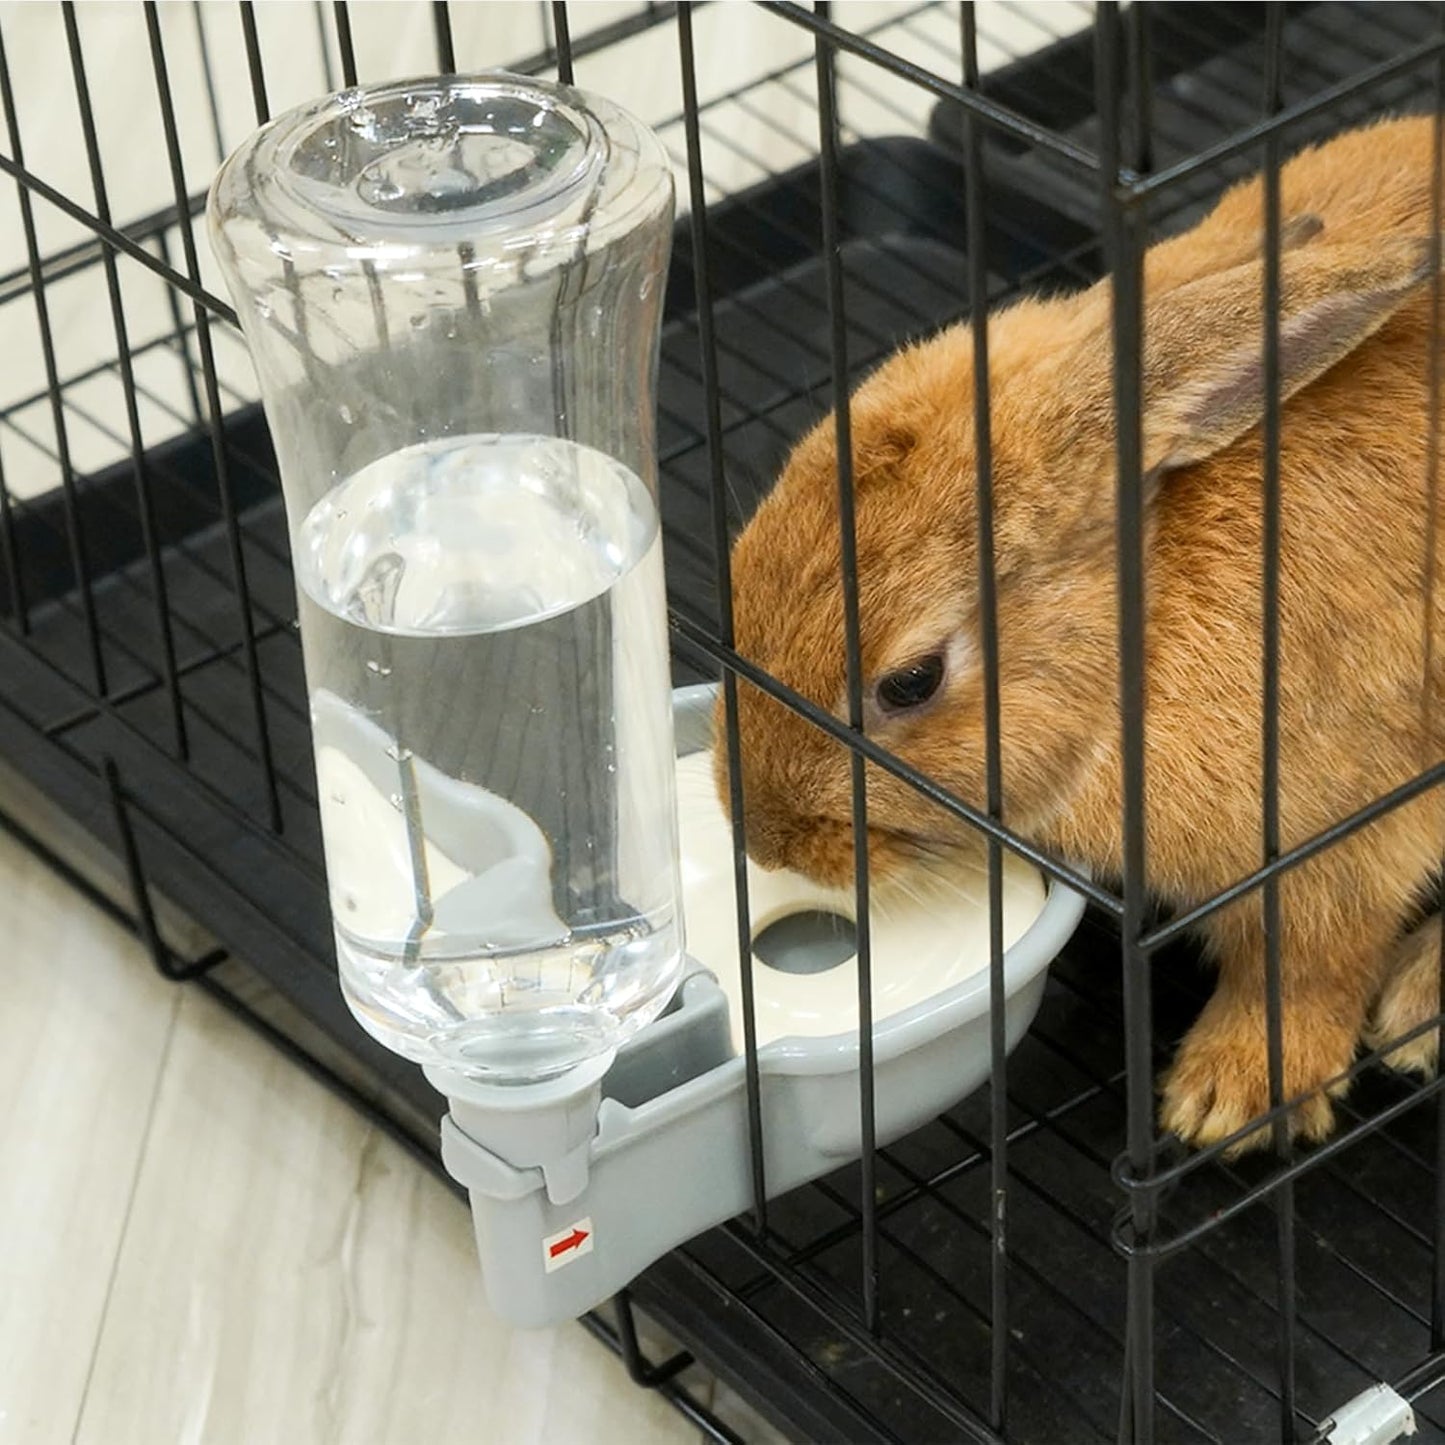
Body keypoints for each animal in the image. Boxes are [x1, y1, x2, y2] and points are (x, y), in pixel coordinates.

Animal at [714, 113, 1445, 1154]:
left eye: (911, 681)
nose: (764, 839)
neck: (1142, 620)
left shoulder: (1344, 830)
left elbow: (1304, 964)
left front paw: (1225, 1100)